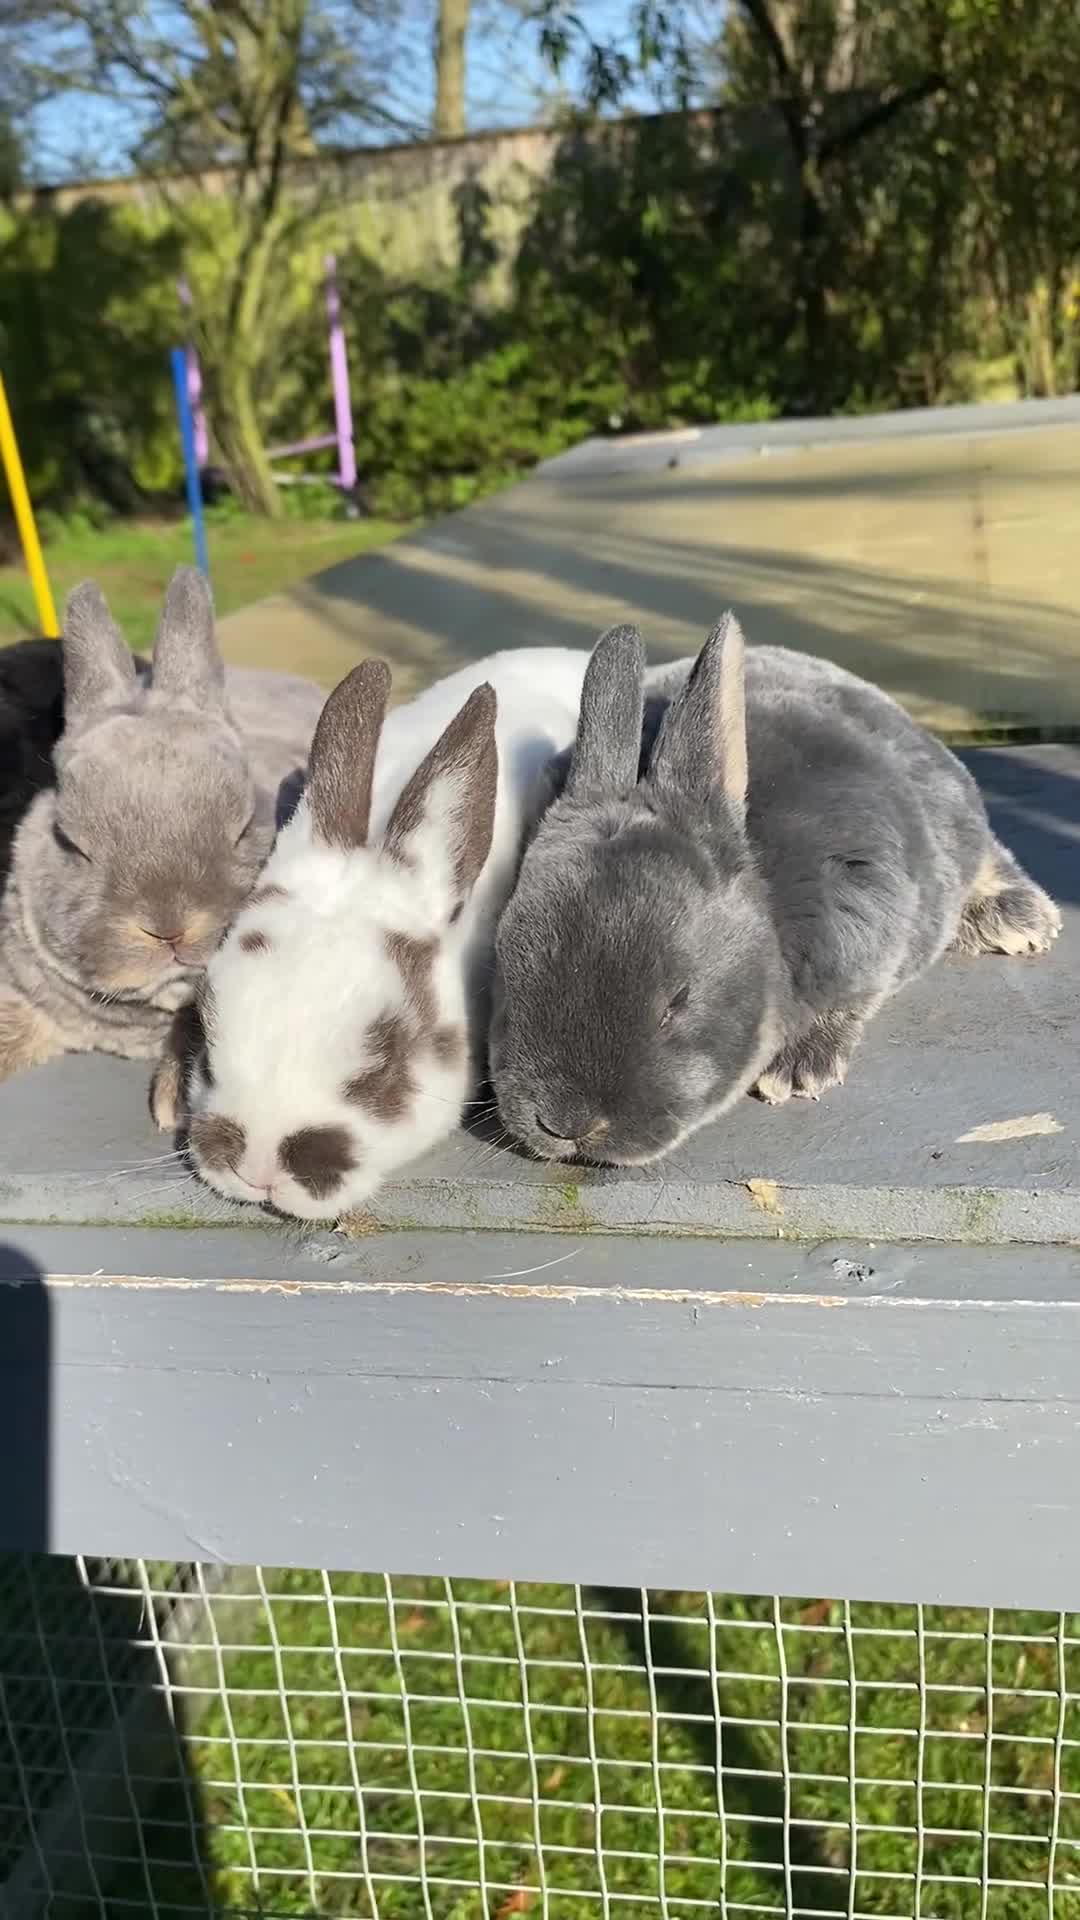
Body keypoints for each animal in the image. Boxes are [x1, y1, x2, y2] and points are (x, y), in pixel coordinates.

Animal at [490, 615, 1062, 1167]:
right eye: (507, 972)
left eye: (677, 1002)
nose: (566, 1125)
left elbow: (850, 1000)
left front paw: (797, 1072)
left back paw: (1019, 920)